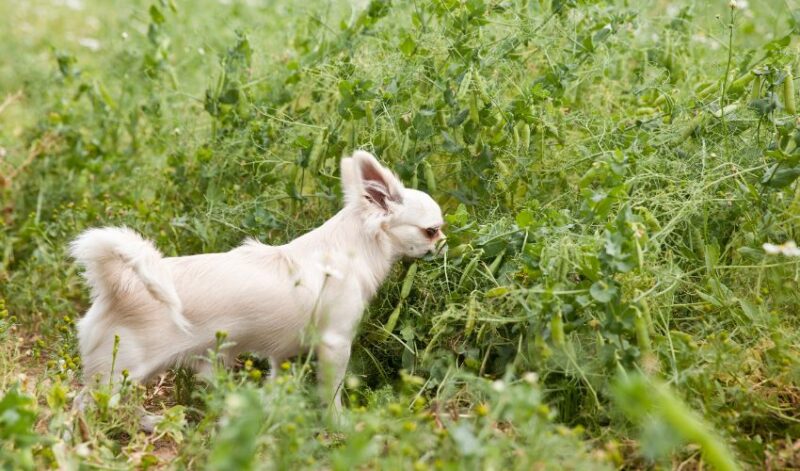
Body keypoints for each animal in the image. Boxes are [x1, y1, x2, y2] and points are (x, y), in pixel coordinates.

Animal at [69, 151, 444, 412]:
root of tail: (118, 287)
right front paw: (339, 426)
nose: (444, 243)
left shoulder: (283, 355)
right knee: (83, 408)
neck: (351, 249)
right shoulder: (335, 343)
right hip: (120, 373)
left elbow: (278, 384)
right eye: (431, 230)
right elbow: (333, 393)